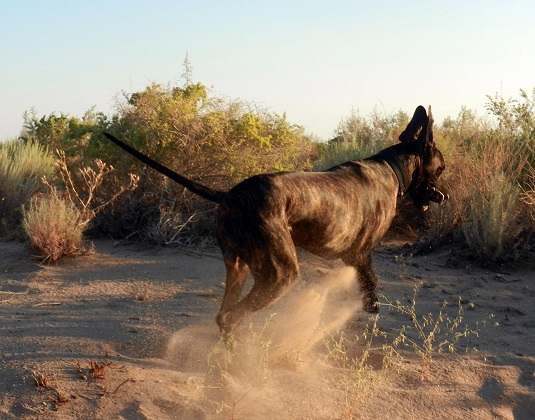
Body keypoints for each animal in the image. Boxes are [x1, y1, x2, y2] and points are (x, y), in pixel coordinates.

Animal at [104, 104, 448, 334]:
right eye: (441, 167)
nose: (443, 195)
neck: (391, 167)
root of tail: (230, 196)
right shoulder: (360, 255)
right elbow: (371, 284)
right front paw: (370, 307)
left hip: (240, 267)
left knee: (225, 314)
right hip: (281, 273)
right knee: (231, 317)